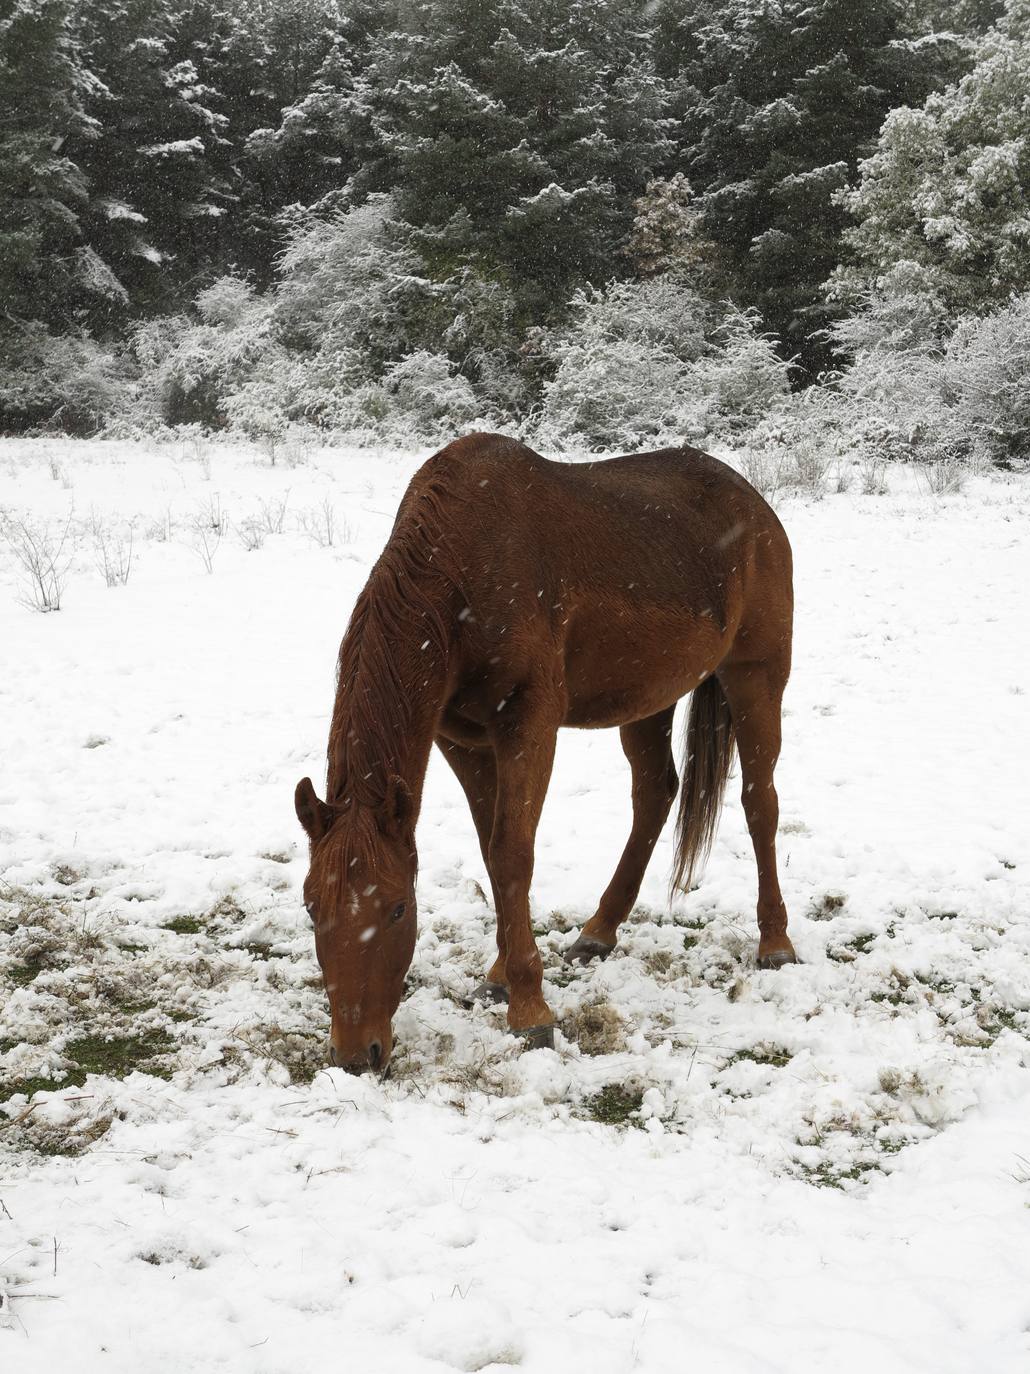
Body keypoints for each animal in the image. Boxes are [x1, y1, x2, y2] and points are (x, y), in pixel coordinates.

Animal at [298, 428, 796, 1071]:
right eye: (312, 908)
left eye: (398, 908)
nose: (357, 1056)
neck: (460, 573)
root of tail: (753, 504)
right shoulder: (462, 741)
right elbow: (492, 854)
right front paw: (500, 976)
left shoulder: (529, 725)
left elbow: (513, 854)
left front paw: (530, 1010)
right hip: (647, 699)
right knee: (654, 796)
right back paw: (599, 930)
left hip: (755, 676)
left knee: (761, 804)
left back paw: (775, 941)